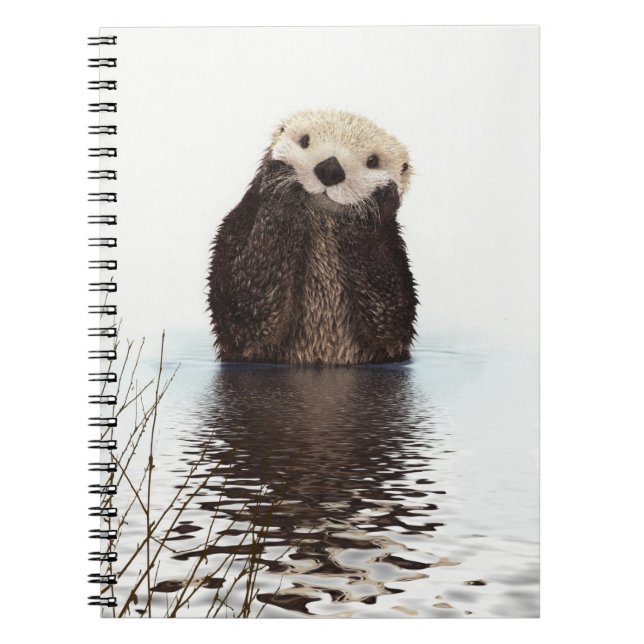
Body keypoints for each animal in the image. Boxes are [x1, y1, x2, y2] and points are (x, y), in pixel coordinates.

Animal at [207, 109, 417, 365]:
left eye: (372, 161)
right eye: (304, 141)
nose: (330, 169)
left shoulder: (395, 258)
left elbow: (391, 317)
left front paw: (373, 205)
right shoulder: (236, 229)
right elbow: (243, 305)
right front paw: (281, 183)